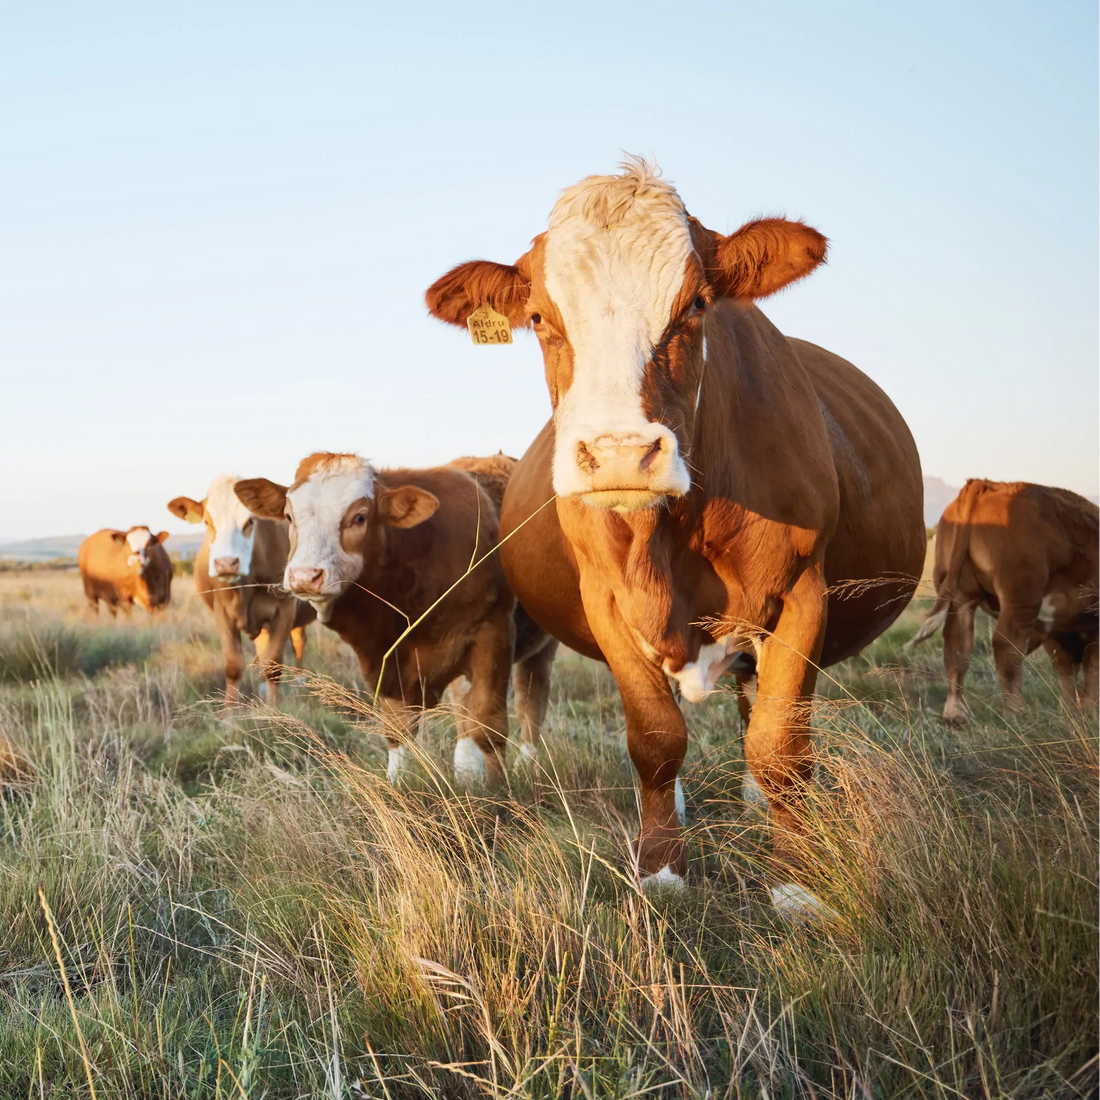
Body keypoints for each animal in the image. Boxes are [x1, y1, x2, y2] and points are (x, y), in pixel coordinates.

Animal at [167, 476, 315, 707]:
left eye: (249, 523)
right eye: (207, 522)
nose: (226, 563)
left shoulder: (285, 609)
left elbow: (274, 664)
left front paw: (274, 708)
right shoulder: (222, 613)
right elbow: (233, 665)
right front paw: (229, 712)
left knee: (298, 643)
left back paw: (299, 683)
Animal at [233, 452, 558, 783]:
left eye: (359, 517)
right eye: (288, 517)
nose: (304, 576)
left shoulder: (493, 637)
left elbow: (487, 726)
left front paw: (498, 791)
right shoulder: (387, 663)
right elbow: (398, 731)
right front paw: (398, 782)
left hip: (542, 645)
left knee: (531, 698)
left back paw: (526, 764)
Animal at [424, 159, 925, 910]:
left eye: (695, 306)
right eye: (540, 318)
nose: (620, 453)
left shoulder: (803, 593)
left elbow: (781, 745)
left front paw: (797, 882)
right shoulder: (607, 605)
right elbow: (655, 740)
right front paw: (662, 867)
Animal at [908, 478, 1100, 721]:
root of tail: (988, 485)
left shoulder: (1056, 628)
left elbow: (1067, 669)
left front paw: (1072, 710)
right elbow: (1091, 666)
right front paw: (1088, 710)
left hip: (961, 597)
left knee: (956, 647)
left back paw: (955, 713)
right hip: (1020, 597)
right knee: (1006, 646)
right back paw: (1018, 712)